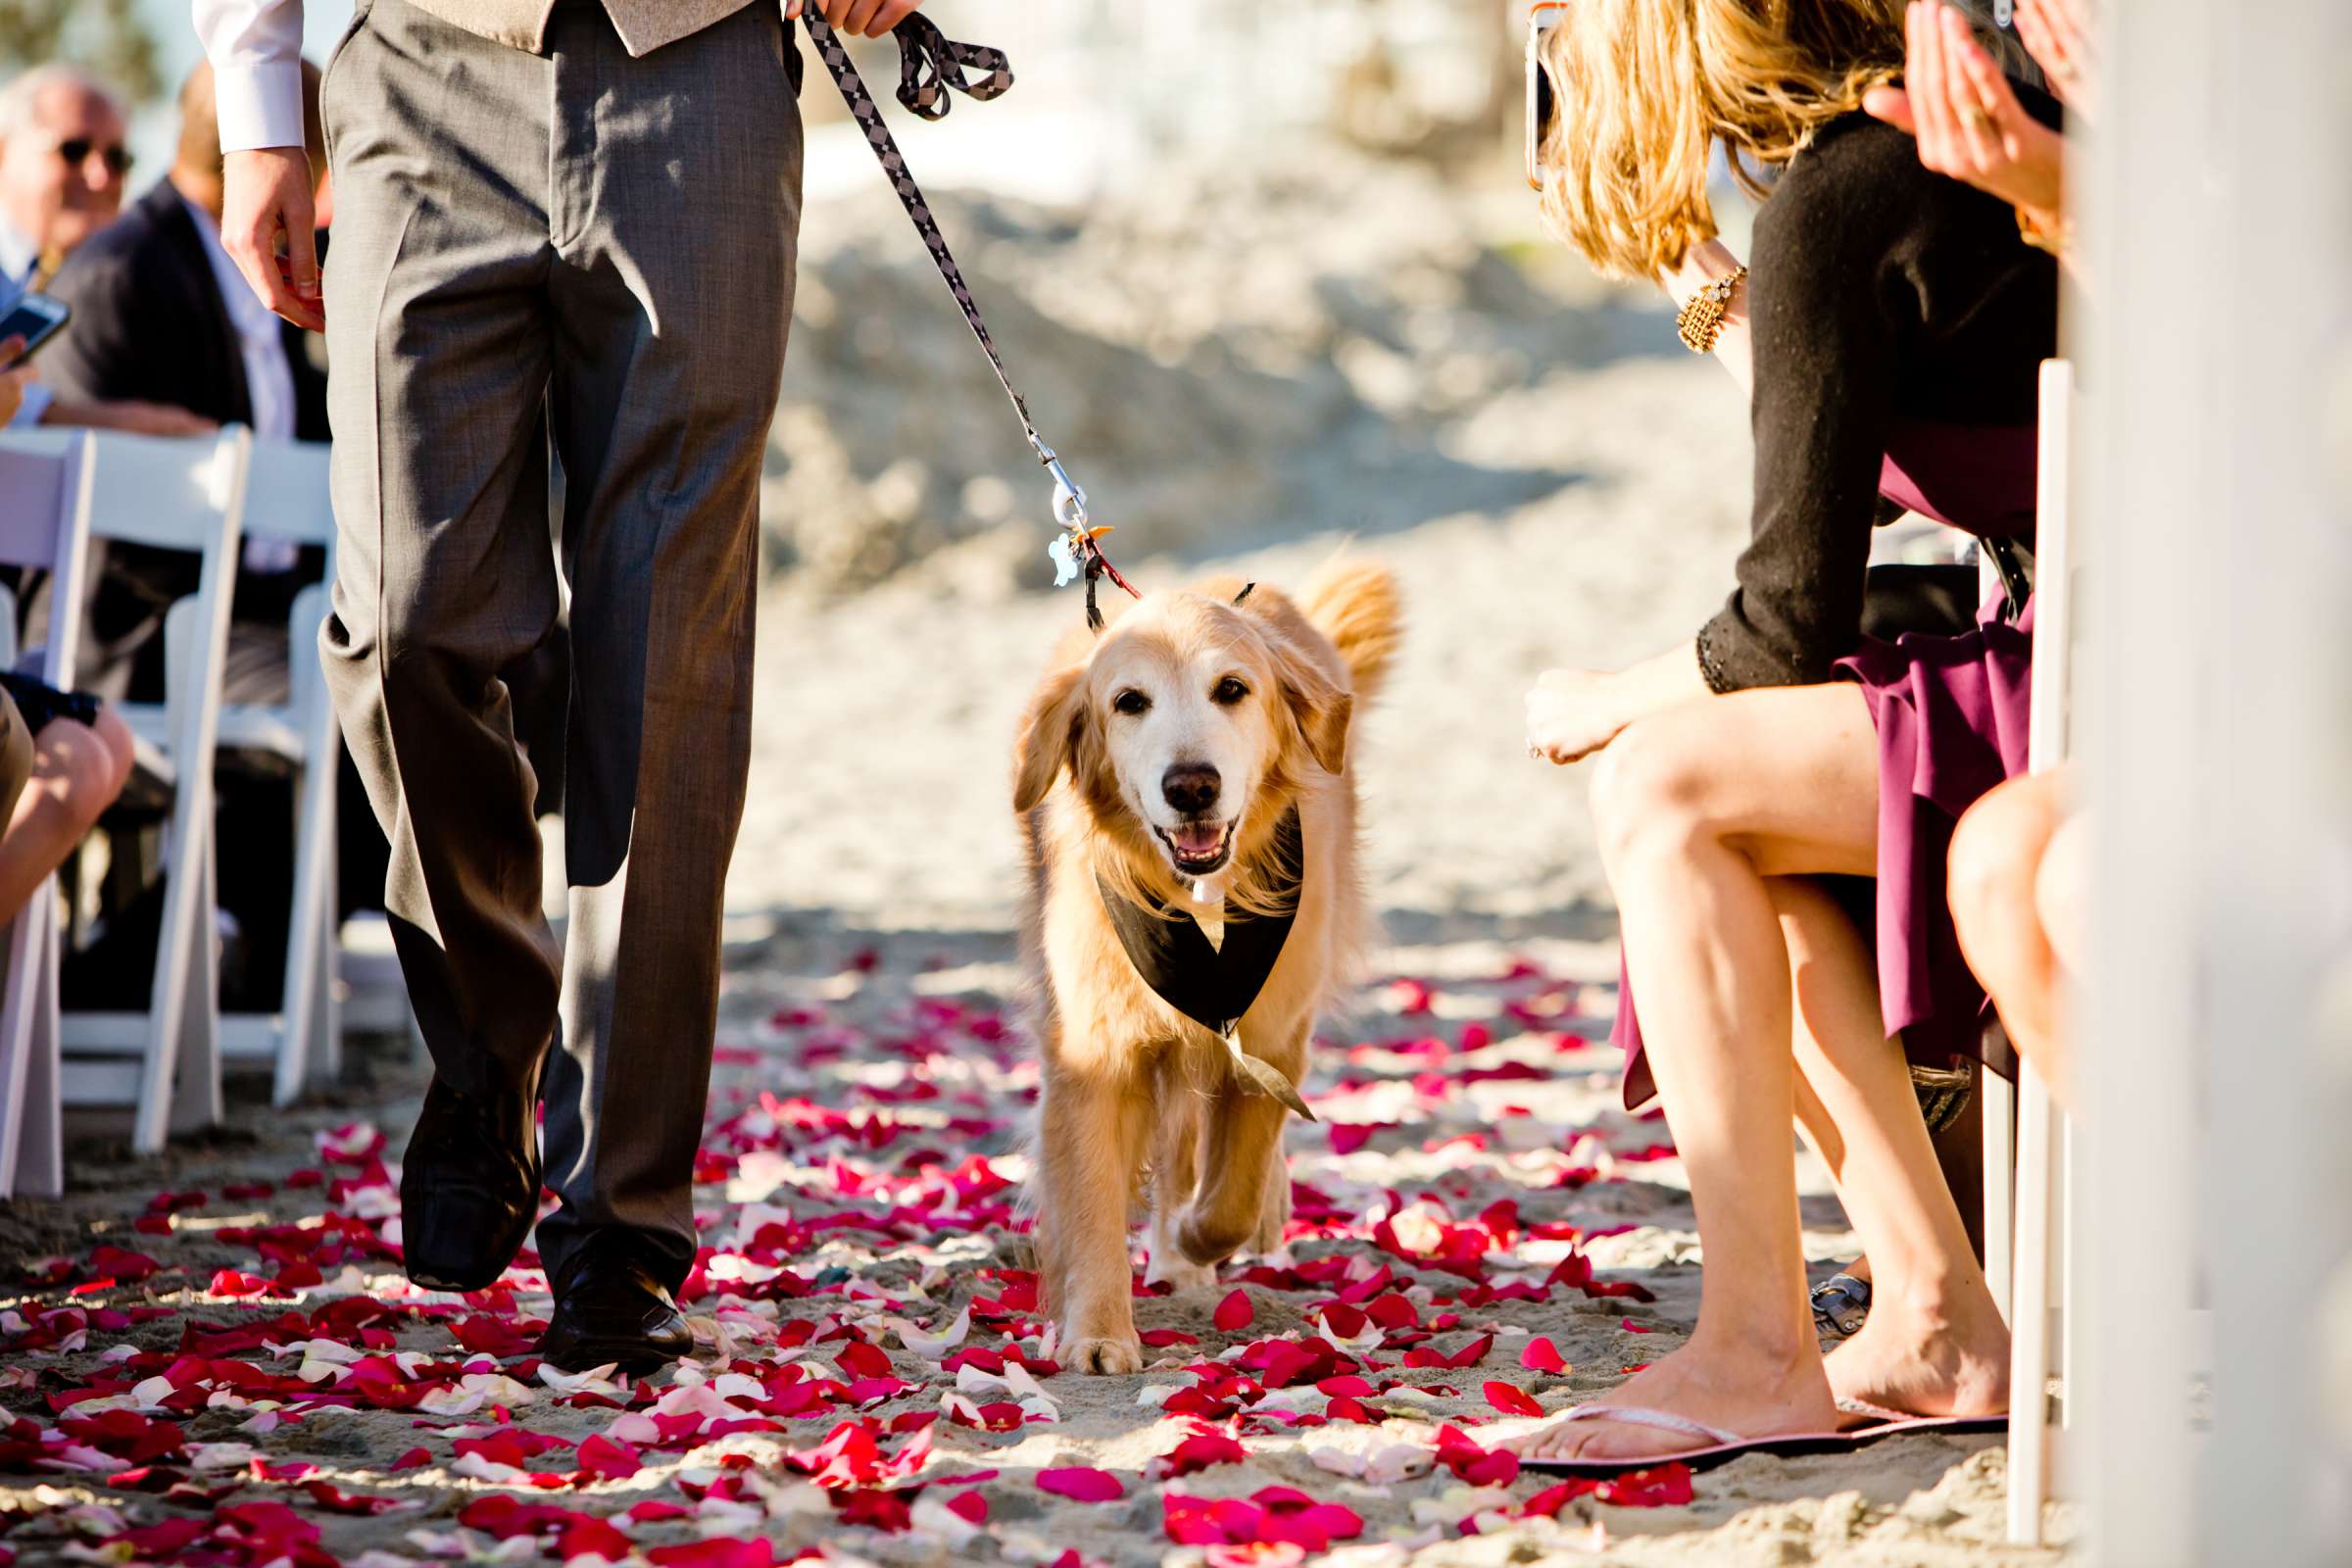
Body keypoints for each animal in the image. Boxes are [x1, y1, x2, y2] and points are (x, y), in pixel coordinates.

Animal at [1011, 562, 1392, 1372]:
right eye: (1129, 701)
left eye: (1232, 688)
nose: (1191, 786)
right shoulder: (1094, 1050)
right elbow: (1091, 1199)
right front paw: (1098, 1333)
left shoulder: (1271, 1030)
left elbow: (1232, 1192)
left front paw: (1196, 1238)